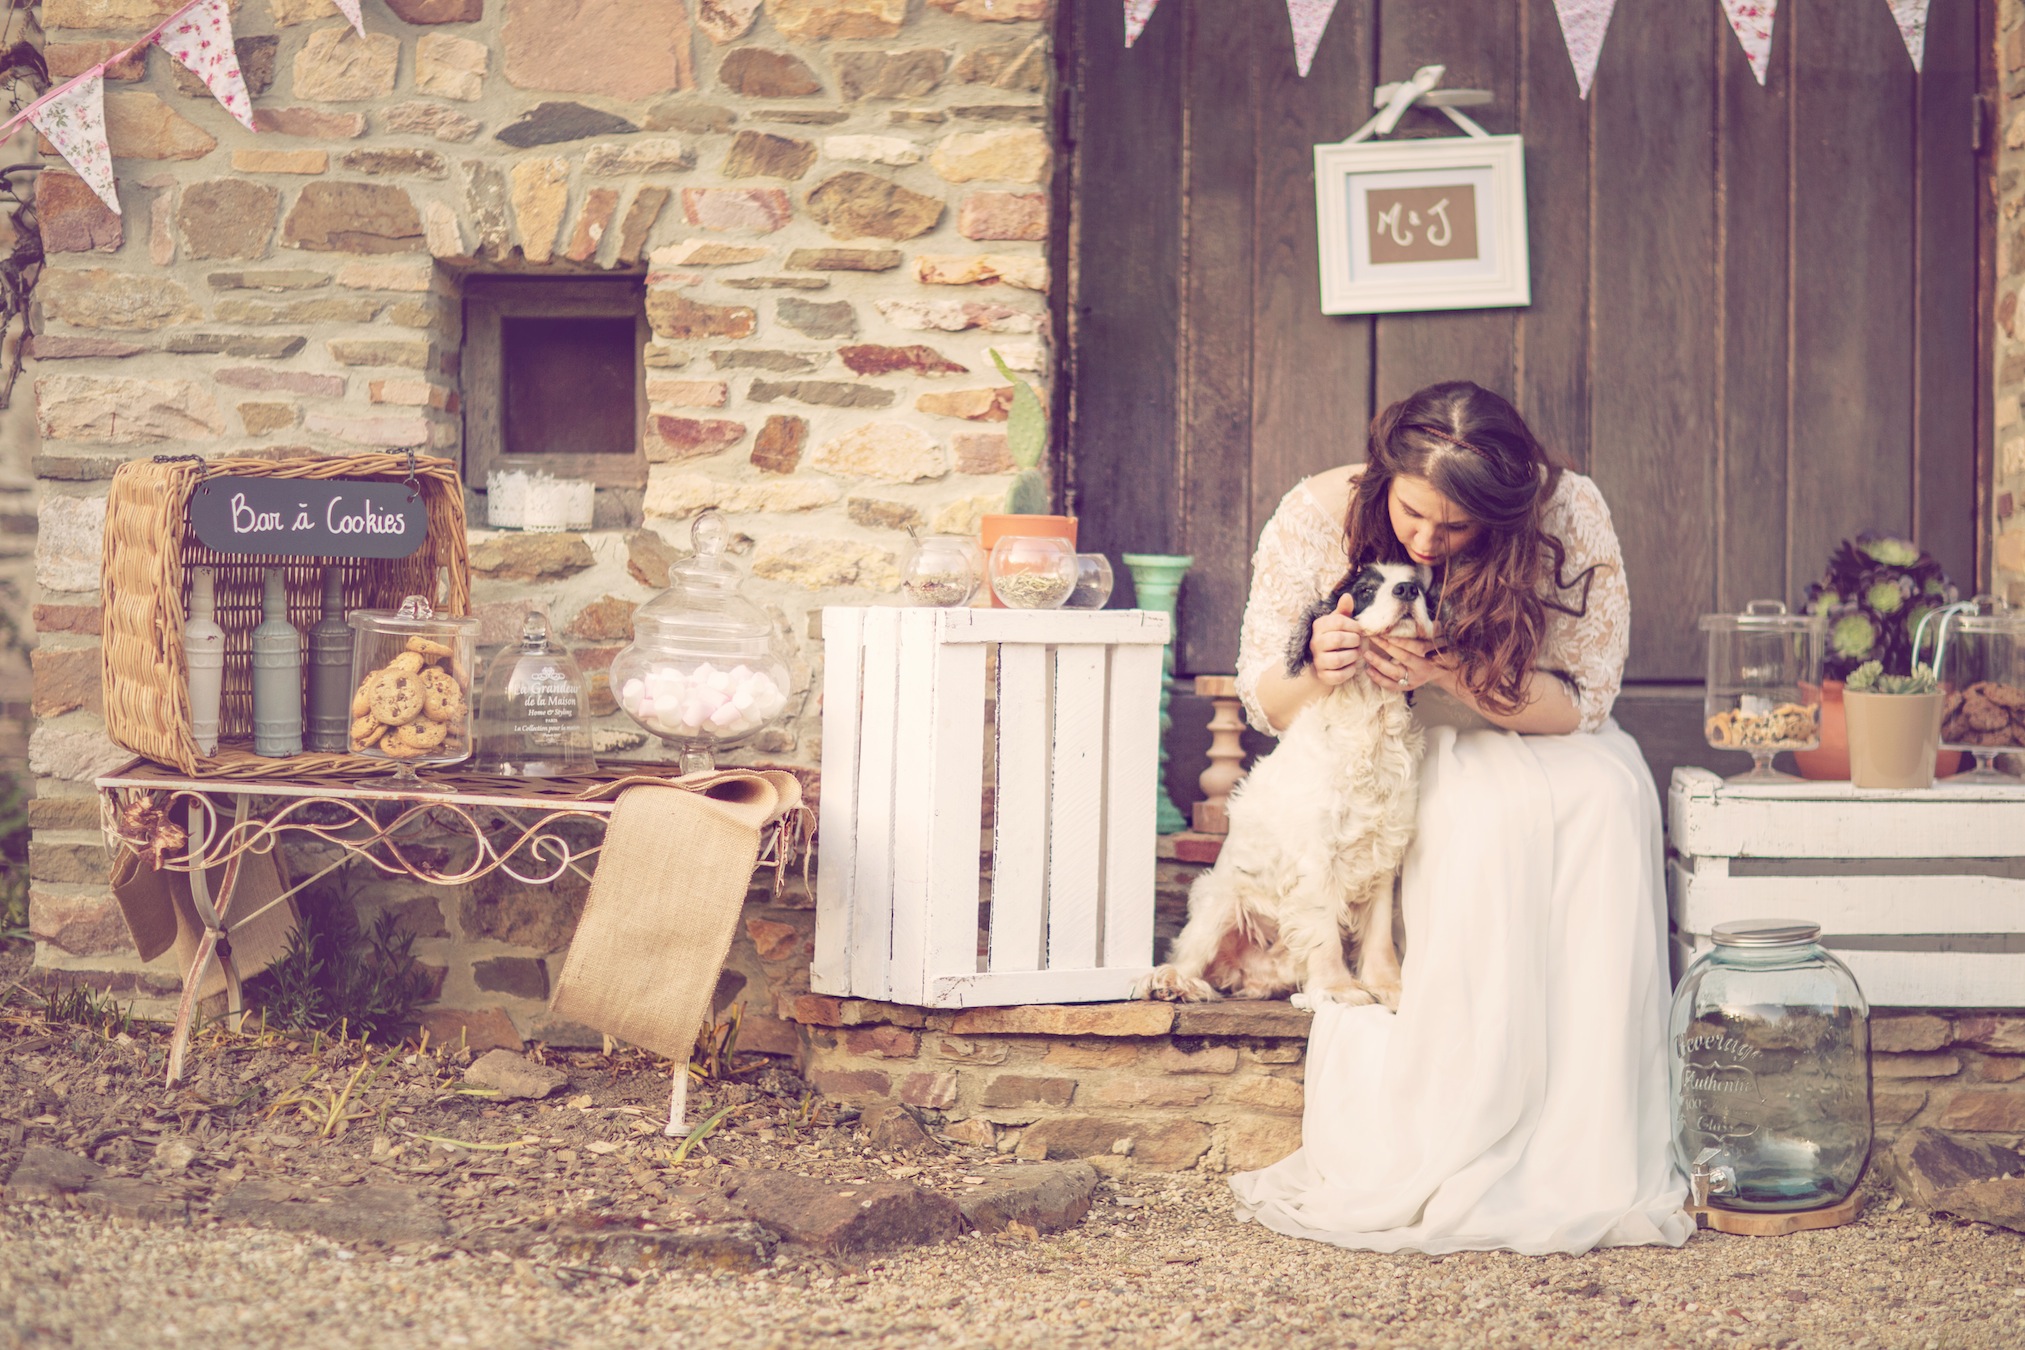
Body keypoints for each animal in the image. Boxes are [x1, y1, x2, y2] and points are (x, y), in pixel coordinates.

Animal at [1134, 562, 1433, 1011]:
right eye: (1365, 590)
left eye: (1420, 587)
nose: (1407, 591)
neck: (1371, 720)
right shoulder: (1316, 855)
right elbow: (1324, 932)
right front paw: (1339, 990)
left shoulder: (1383, 853)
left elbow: (1379, 935)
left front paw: (1391, 989)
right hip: (1219, 896)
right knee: (1189, 955)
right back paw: (1172, 982)